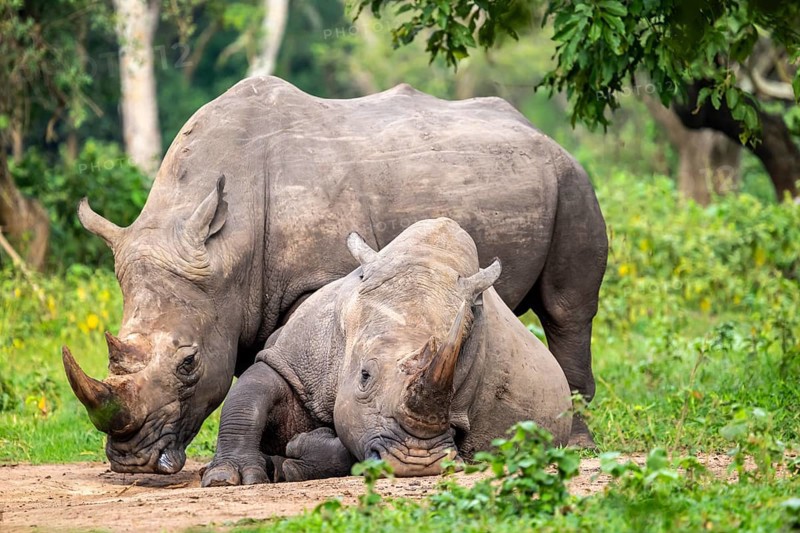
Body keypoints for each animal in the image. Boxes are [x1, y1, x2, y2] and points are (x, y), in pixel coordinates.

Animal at [201, 218, 572, 485]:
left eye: (453, 396)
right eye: (365, 376)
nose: (415, 465)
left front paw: (294, 457)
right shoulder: (293, 359)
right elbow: (251, 396)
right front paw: (228, 478)